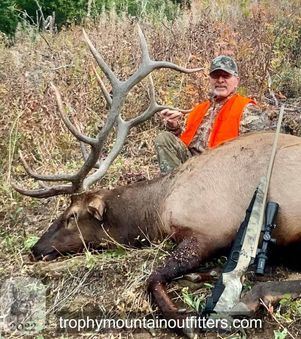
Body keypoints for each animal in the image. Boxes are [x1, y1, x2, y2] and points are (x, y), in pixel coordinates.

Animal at [13, 25, 300, 334]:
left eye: (71, 216)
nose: (36, 248)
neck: (159, 208)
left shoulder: (207, 231)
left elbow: (152, 278)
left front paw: (186, 320)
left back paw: (249, 299)